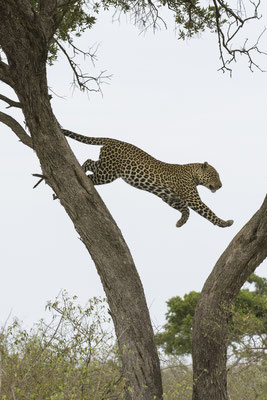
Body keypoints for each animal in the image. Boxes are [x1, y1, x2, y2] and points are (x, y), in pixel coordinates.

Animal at [63, 128, 234, 228]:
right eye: (214, 175)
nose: (220, 186)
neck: (193, 174)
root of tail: (112, 140)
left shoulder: (171, 198)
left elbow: (185, 210)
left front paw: (181, 222)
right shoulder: (193, 199)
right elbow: (208, 212)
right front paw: (225, 223)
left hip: (106, 167)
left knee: (89, 162)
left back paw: (80, 168)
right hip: (108, 172)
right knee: (91, 175)